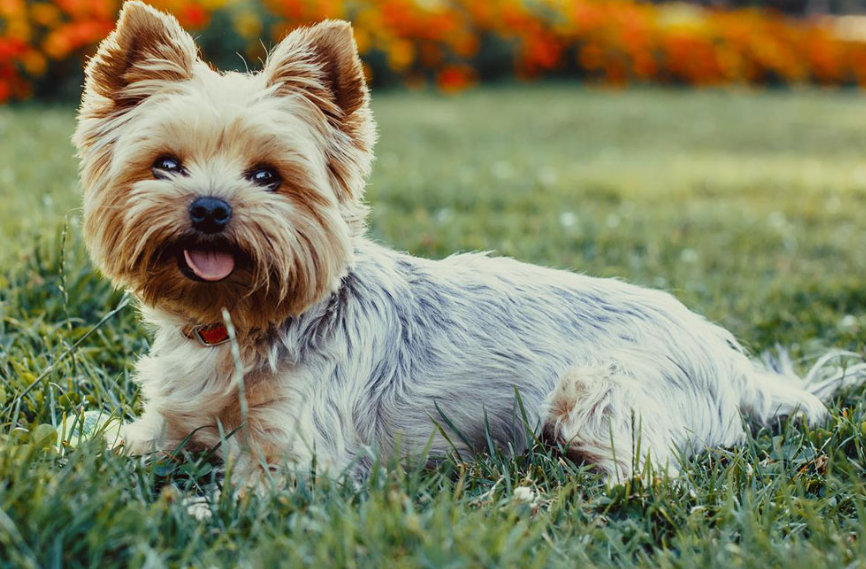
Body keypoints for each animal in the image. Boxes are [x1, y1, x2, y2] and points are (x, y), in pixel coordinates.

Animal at [77, 2, 860, 486]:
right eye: (166, 165)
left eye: (267, 176)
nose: (210, 208)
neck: (236, 323)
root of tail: (732, 360)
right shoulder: (167, 422)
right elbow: (113, 438)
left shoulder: (295, 456)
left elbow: (237, 493)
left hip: (596, 390)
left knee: (651, 473)